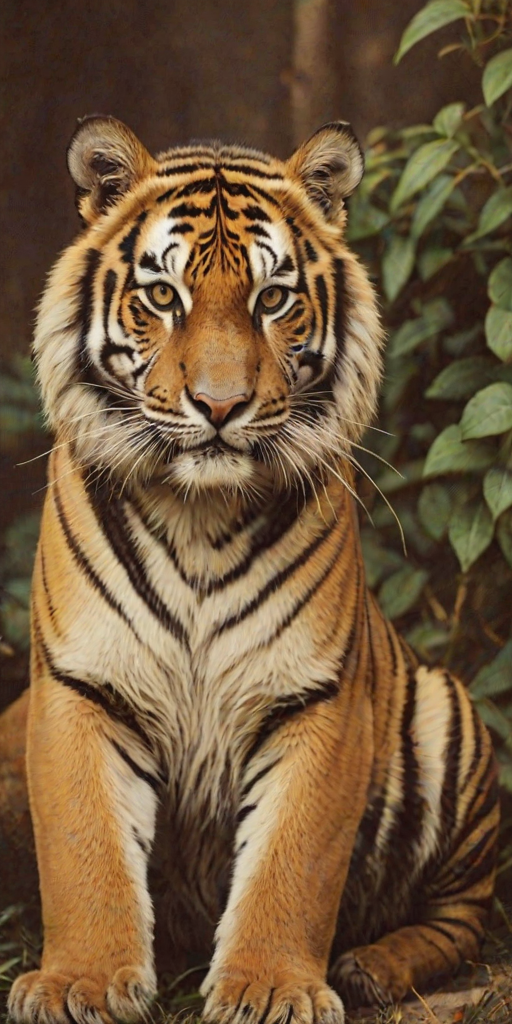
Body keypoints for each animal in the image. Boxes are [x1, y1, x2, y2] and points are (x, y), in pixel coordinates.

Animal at [7, 115, 499, 1024]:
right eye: (164, 296)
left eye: (273, 298)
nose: (220, 405)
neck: (198, 516)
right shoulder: (81, 683)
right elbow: (82, 848)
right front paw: (81, 983)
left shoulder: (315, 694)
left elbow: (293, 862)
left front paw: (270, 988)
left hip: (451, 718)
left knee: (463, 915)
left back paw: (373, 967)